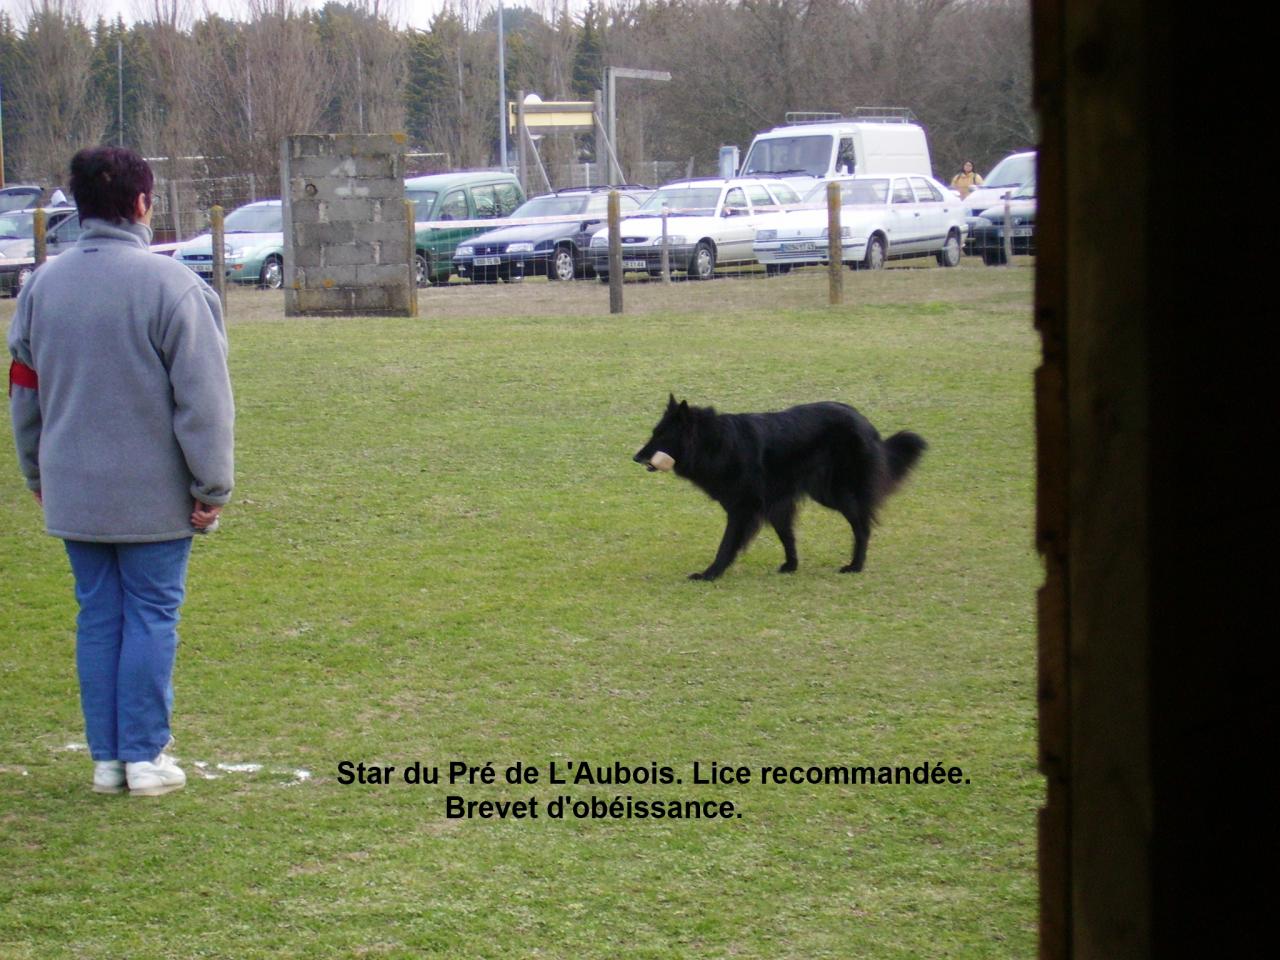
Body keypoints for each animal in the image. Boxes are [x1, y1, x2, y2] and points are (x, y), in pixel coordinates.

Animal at [632, 396, 926, 583]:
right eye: (654, 432)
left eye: (661, 435)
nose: (635, 457)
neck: (715, 443)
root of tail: (866, 424)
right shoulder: (776, 504)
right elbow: (787, 536)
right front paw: (791, 566)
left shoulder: (742, 510)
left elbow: (727, 544)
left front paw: (710, 574)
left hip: (836, 493)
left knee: (863, 525)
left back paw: (855, 566)